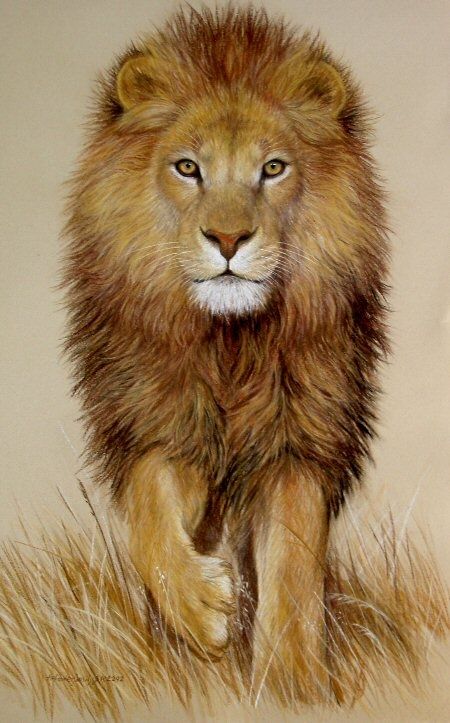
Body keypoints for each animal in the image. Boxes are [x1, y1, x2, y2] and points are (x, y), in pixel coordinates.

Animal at [62, 6, 389, 701]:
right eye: (188, 168)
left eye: (273, 168)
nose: (229, 238)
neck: (230, 346)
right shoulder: (162, 423)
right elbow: (149, 516)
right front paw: (202, 609)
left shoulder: (297, 438)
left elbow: (292, 563)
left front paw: (292, 683)